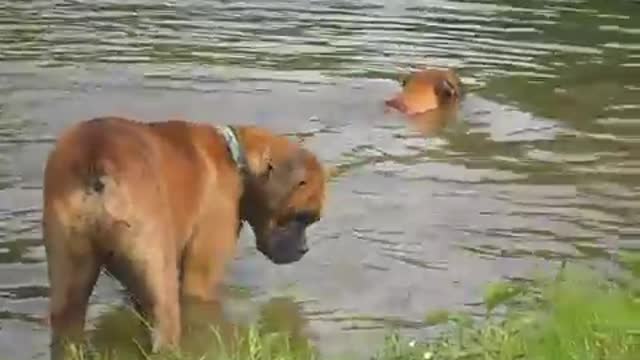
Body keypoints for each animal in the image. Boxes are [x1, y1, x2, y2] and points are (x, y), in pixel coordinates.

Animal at [42, 116, 328, 356]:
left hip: (69, 281)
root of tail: (98, 154)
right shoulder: (199, 278)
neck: (239, 162)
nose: (304, 249)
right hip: (161, 284)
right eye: (301, 217)